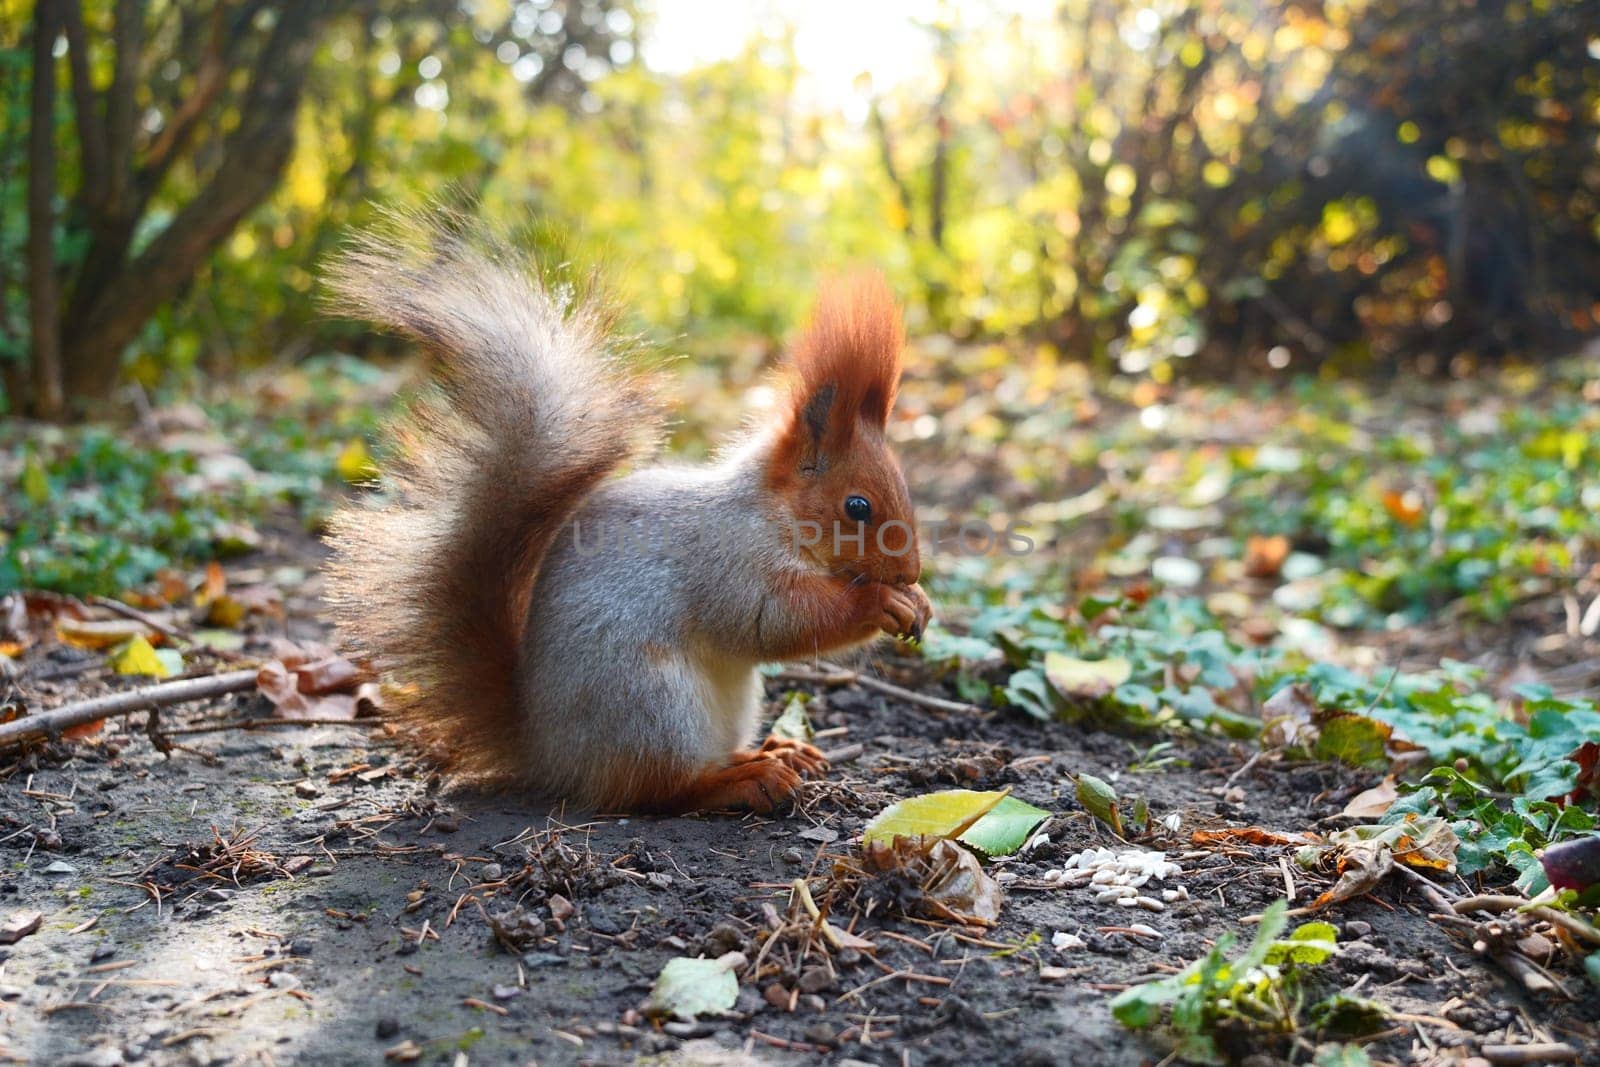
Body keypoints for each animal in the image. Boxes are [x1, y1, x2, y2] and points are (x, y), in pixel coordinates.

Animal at [320, 217, 934, 819]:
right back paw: (745, 779)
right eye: (857, 507)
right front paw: (881, 602)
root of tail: (548, 752)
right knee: (659, 788)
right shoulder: (727, 560)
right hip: (651, 704)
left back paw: (775, 751)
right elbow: (774, 620)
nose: (909, 572)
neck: (772, 513)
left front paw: (919, 602)